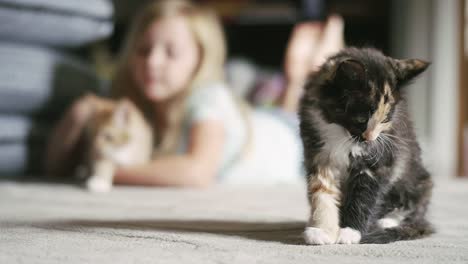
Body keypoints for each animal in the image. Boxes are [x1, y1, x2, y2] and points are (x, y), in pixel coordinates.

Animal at [300, 47, 436, 243]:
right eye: (361, 119)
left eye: (385, 119)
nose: (370, 138)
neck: (341, 134)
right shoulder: (319, 155)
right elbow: (322, 193)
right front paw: (321, 230)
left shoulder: (379, 163)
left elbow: (364, 197)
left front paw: (350, 232)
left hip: (418, 180)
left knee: (412, 206)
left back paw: (386, 222)